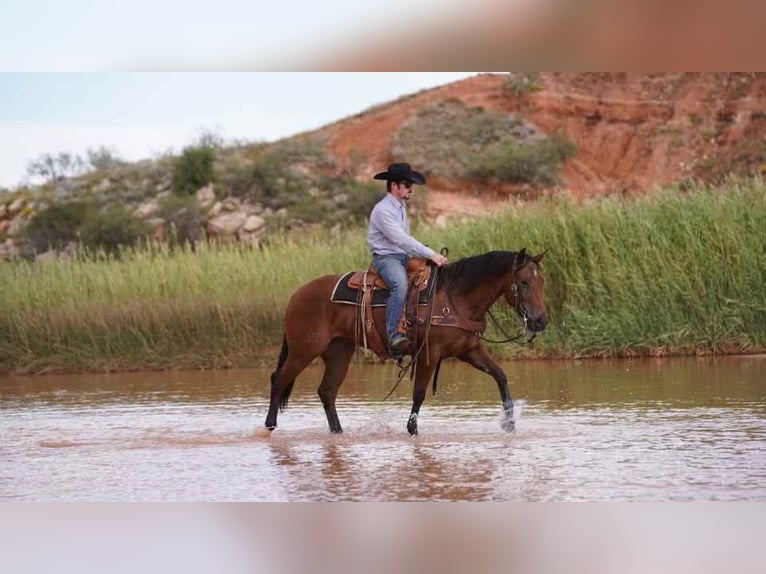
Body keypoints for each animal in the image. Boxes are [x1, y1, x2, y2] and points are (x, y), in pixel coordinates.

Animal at [260, 249, 547, 436]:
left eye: (540, 281)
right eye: (523, 282)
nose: (540, 320)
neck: (454, 298)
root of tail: (296, 296)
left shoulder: (470, 350)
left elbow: (500, 376)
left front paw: (509, 423)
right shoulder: (430, 353)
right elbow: (419, 393)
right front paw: (412, 429)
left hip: (339, 351)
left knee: (327, 391)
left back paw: (338, 432)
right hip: (304, 349)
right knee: (279, 379)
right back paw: (270, 425)